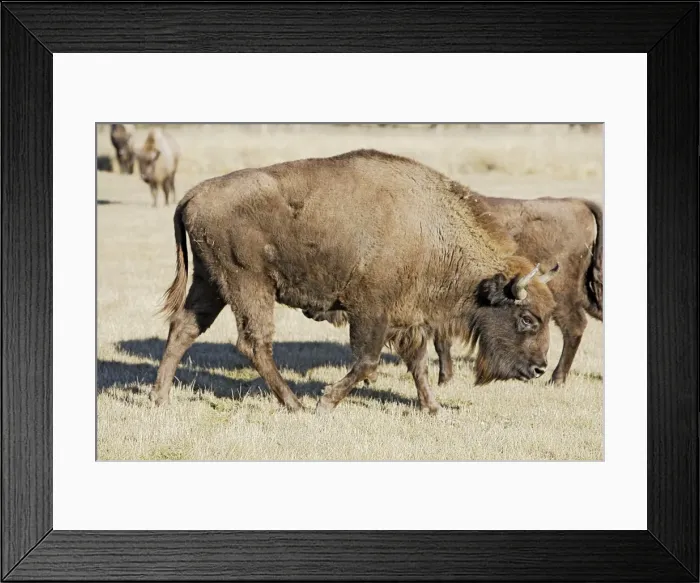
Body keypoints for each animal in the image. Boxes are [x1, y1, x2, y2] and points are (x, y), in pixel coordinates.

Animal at [151, 150, 558, 413]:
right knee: (253, 343)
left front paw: (433, 408)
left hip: (210, 284)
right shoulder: (369, 312)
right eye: (527, 318)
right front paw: (325, 402)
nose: (540, 368)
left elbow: (417, 363)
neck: (429, 228)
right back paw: (296, 405)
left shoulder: (406, 319)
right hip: (248, 285)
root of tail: (192, 196)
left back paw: (161, 398)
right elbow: (367, 361)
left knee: (184, 328)